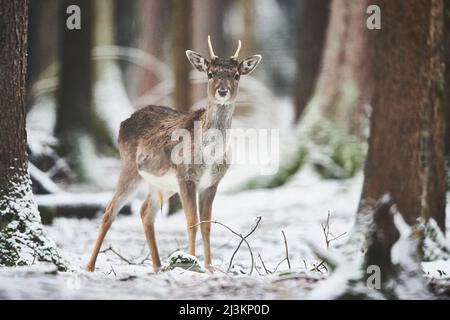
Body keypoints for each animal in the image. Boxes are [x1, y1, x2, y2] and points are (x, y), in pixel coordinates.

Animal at [86, 37, 262, 272]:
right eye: (210, 73)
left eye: (237, 74)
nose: (223, 91)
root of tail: (123, 123)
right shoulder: (186, 176)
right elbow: (192, 222)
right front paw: (193, 263)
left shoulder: (212, 183)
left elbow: (207, 225)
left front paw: (209, 267)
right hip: (130, 167)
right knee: (109, 211)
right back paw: (90, 266)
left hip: (161, 182)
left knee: (145, 212)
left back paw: (158, 266)